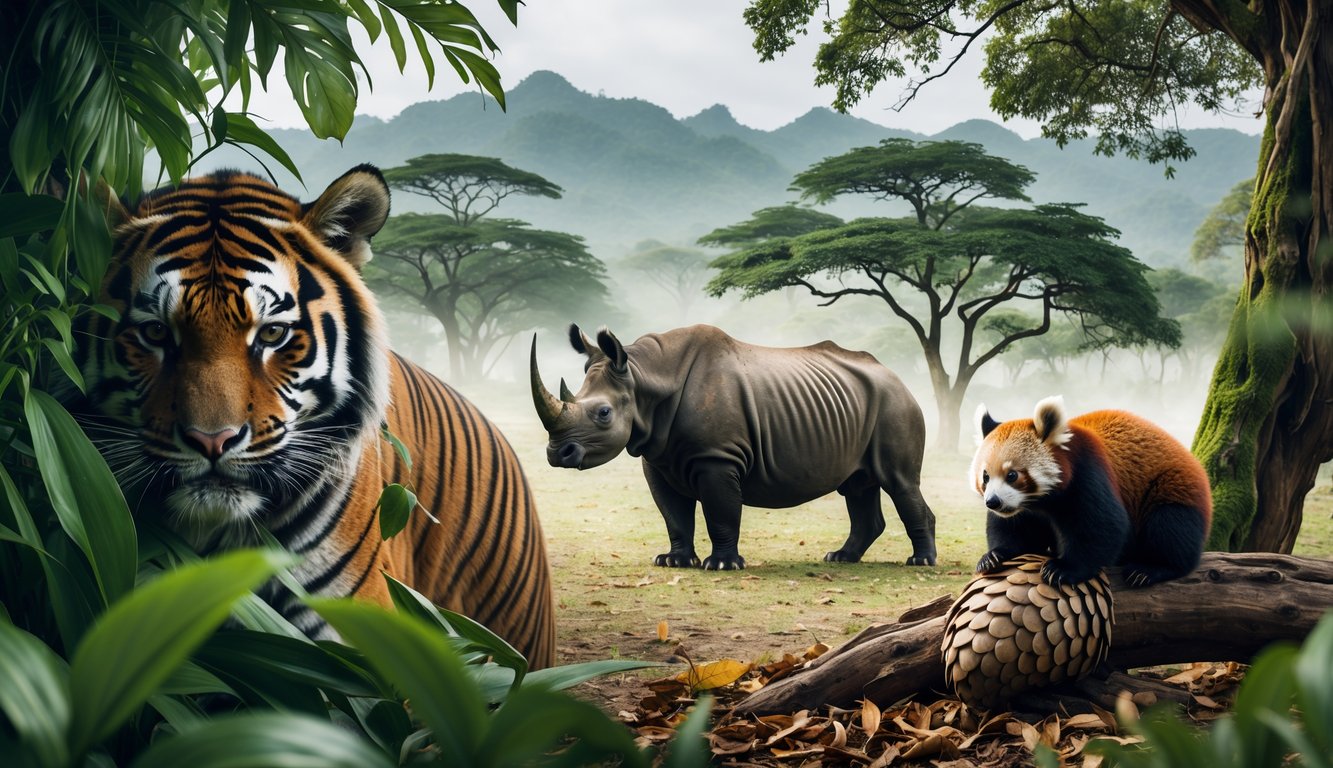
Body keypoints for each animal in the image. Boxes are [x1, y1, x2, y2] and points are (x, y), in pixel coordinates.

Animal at [969, 396, 1212, 588]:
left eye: (1012, 475)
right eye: (985, 477)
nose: (993, 502)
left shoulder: (1087, 474)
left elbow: (1103, 526)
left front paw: (1064, 569)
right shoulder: (1024, 508)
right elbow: (1013, 529)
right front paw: (995, 555)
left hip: (1173, 491)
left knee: (1170, 527)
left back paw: (1151, 568)